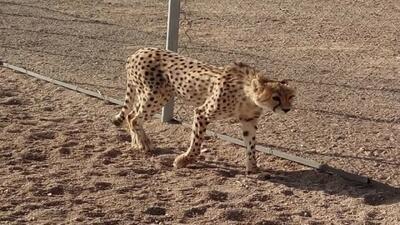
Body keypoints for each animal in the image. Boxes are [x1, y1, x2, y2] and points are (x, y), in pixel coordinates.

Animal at [111, 47, 294, 173]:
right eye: (276, 97)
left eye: (291, 97)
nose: (287, 110)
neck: (248, 95)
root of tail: (138, 52)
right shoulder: (202, 112)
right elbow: (197, 142)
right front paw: (184, 160)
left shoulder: (249, 120)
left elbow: (251, 145)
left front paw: (253, 167)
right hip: (156, 96)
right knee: (134, 118)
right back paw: (144, 144)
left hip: (150, 95)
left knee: (130, 115)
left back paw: (137, 143)